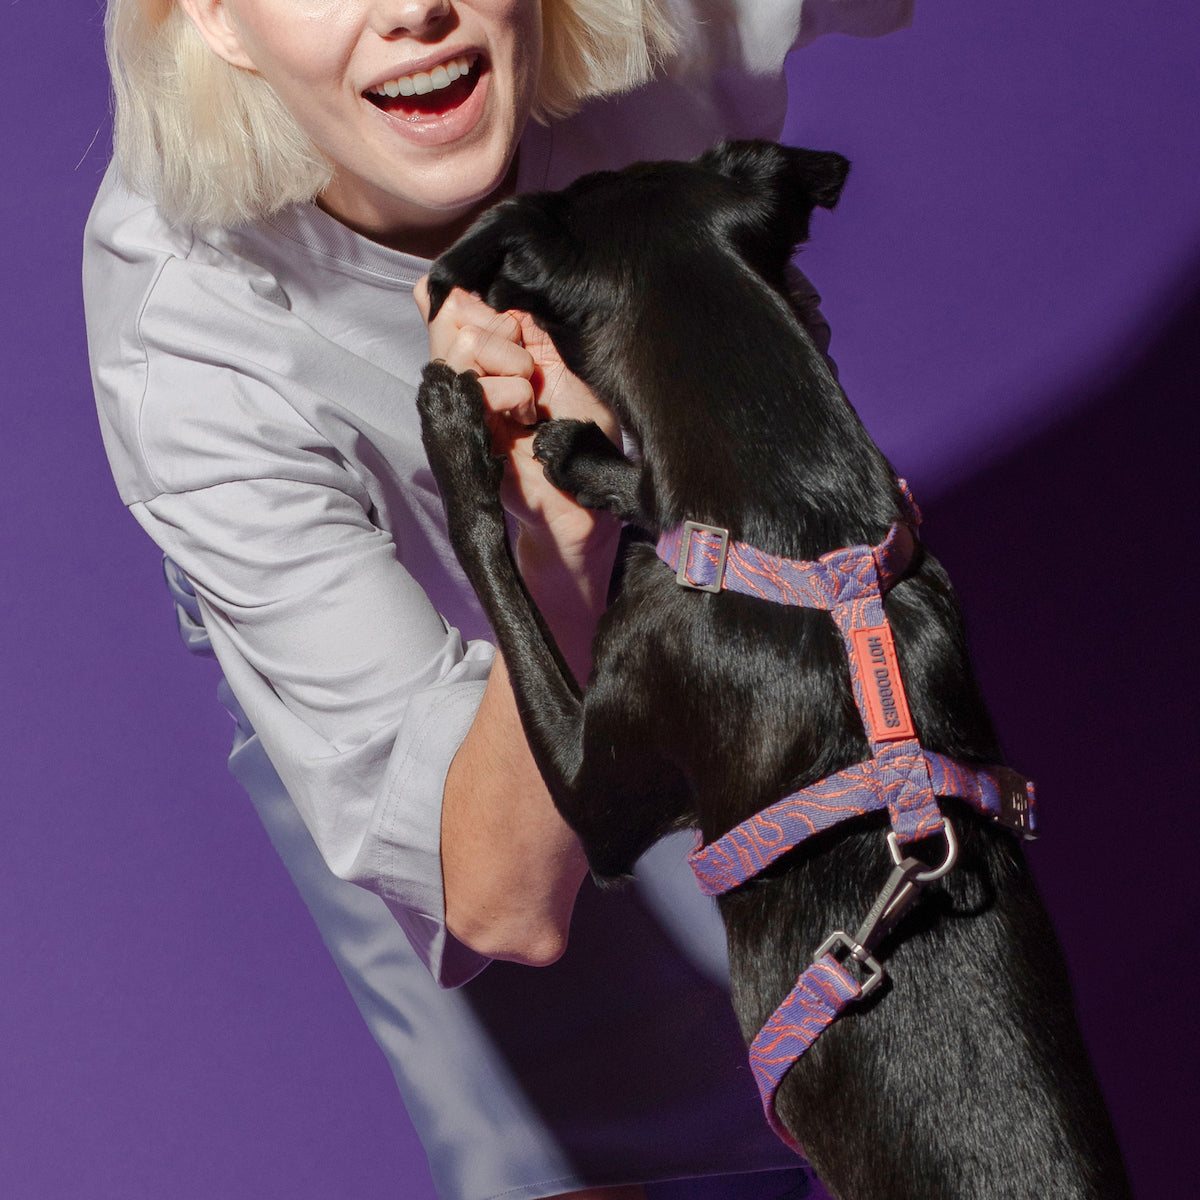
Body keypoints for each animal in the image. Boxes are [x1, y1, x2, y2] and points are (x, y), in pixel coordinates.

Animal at [417, 142, 1128, 1200]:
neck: (806, 525)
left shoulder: (599, 800)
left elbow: (492, 555)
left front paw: (456, 431)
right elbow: (648, 505)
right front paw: (590, 459)